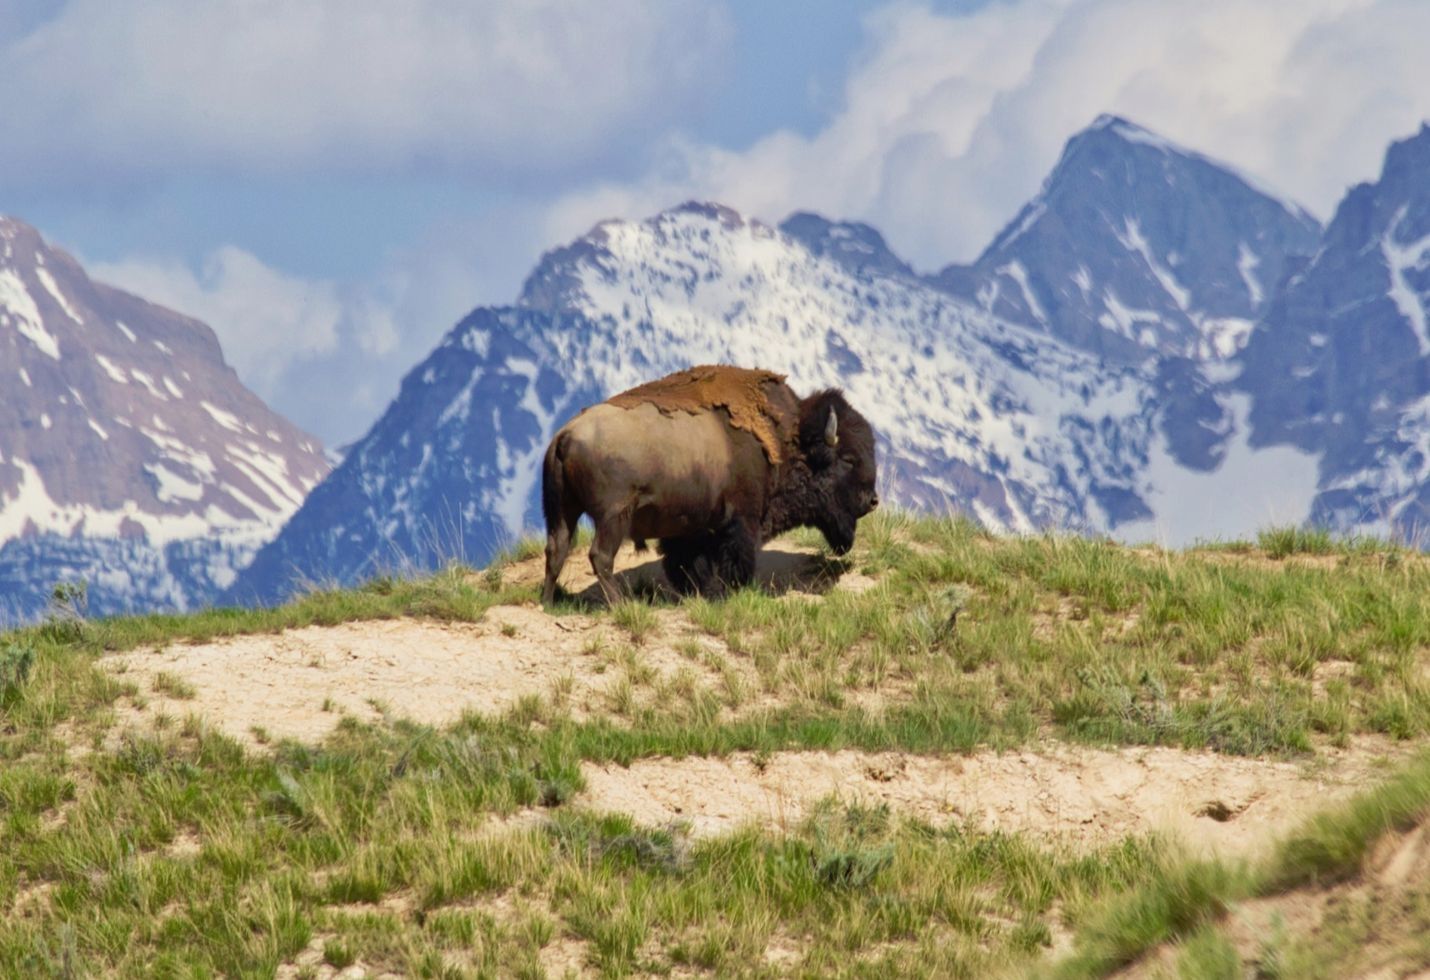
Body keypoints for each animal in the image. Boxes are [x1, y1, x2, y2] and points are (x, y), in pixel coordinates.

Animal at [540, 365, 878, 604]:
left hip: (563, 512)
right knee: (600, 556)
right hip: (614, 516)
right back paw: (620, 604)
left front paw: (699, 593)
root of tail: (565, 435)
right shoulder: (740, 521)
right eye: (848, 459)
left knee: (556, 550)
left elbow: (689, 565)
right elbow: (734, 560)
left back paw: (549, 602)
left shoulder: (689, 529)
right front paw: (729, 593)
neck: (786, 441)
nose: (872, 500)